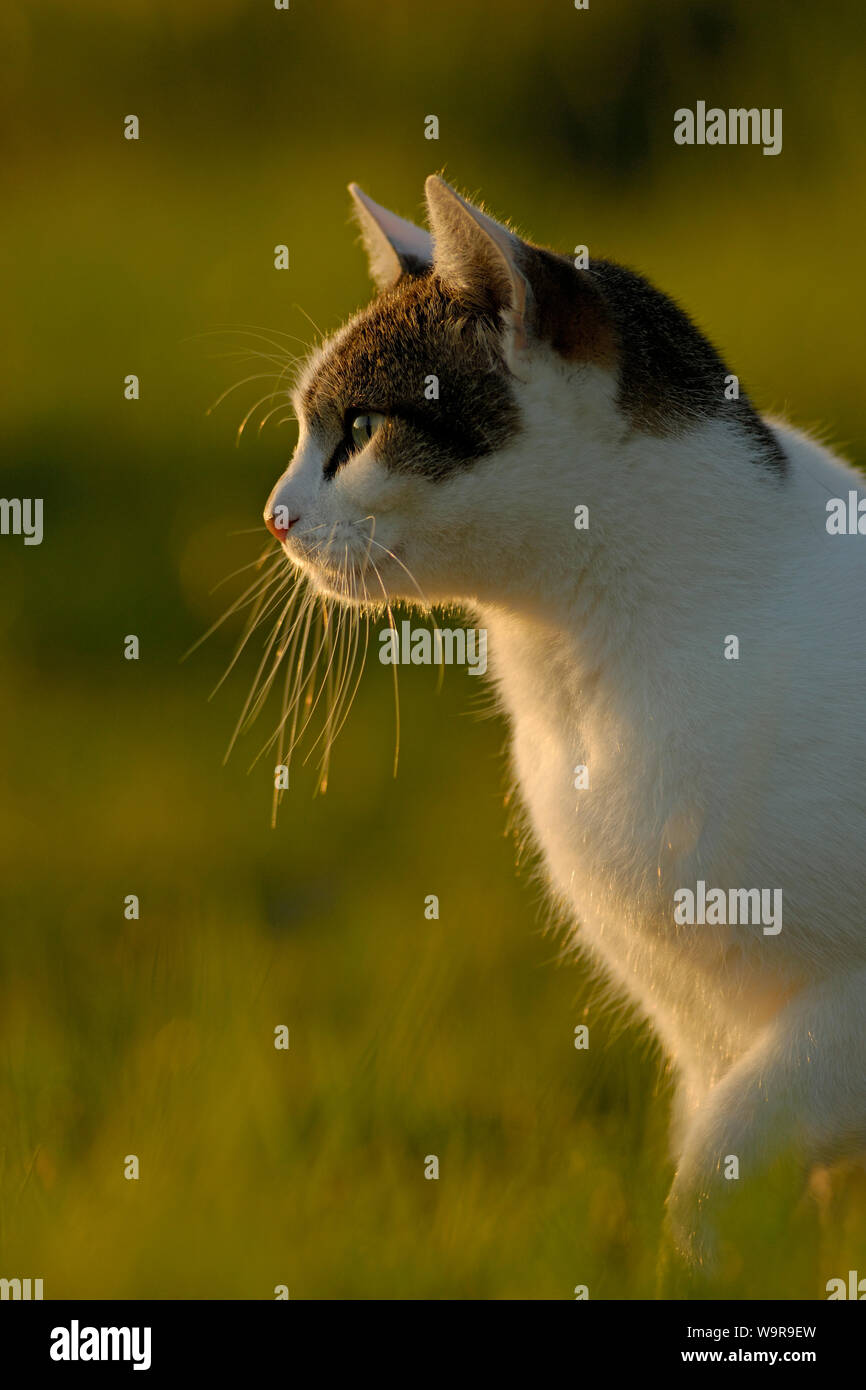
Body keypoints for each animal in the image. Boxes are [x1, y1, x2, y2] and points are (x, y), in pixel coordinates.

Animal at [262, 176, 866, 1273]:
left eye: (358, 428)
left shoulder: (829, 1022)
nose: (273, 516)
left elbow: (722, 1150)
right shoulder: (700, 1030)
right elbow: (727, 1159)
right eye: (303, 429)